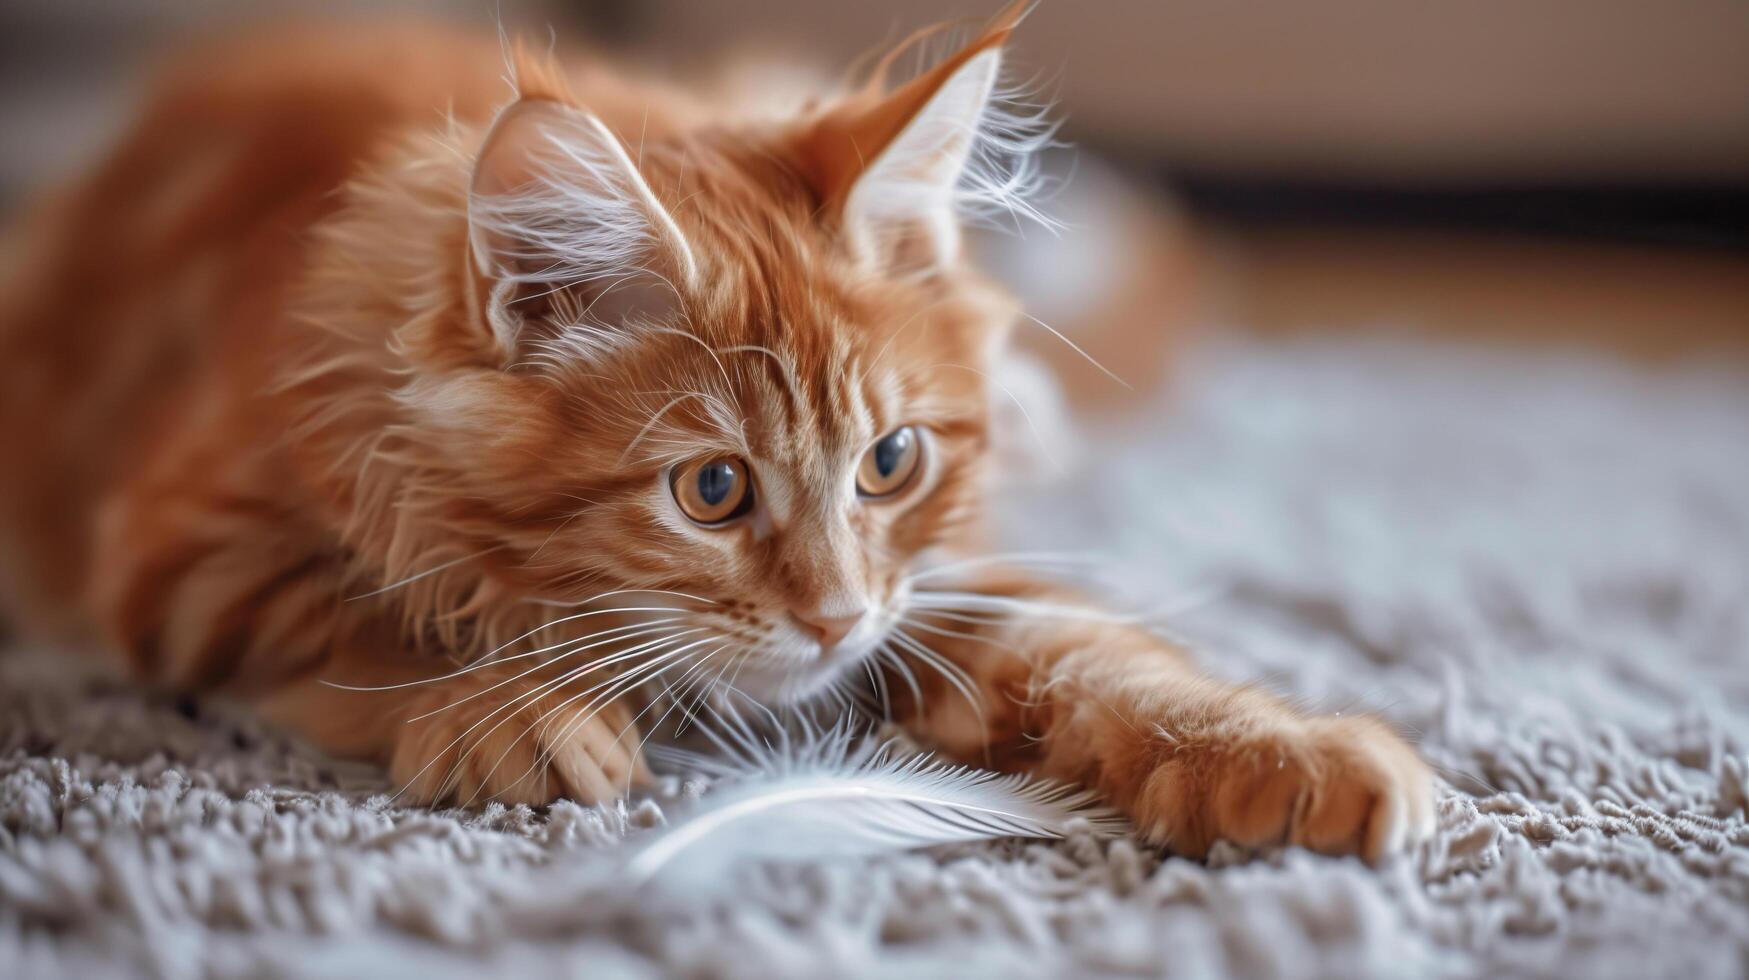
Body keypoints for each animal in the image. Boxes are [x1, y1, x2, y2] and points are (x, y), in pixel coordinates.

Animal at [0, 7, 1434, 857]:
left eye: (891, 462)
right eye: (711, 492)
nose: (832, 621)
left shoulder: (936, 586)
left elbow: (1096, 653)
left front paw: (1285, 748)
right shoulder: (190, 553)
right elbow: (375, 617)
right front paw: (510, 703)